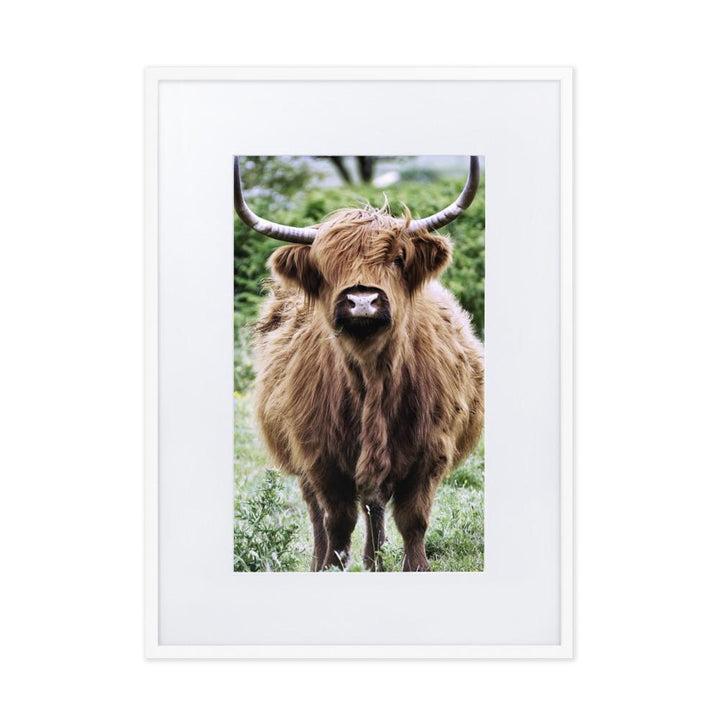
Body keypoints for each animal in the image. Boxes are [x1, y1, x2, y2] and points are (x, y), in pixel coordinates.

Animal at [234, 156, 485, 571]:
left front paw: (414, 567)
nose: (362, 300)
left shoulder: (431, 452)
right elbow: (337, 521)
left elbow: (412, 519)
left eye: (398, 258)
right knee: (321, 514)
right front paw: (331, 567)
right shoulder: (320, 458)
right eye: (325, 265)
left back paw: (374, 560)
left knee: (375, 505)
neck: (373, 377)